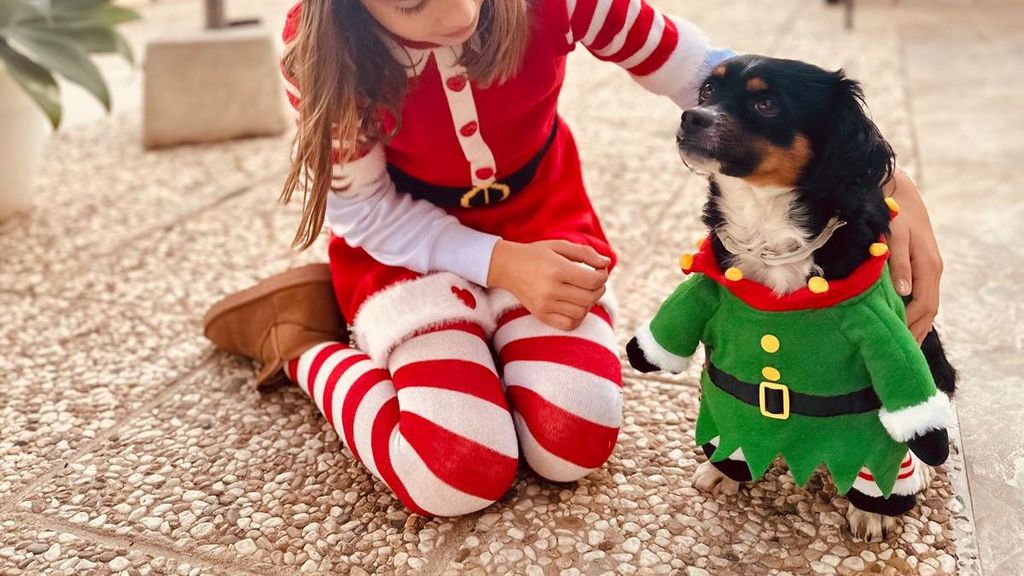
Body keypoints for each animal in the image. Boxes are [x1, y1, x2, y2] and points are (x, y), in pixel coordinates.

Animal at [626, 56, 954, 541]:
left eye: (767, 104)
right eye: (707, 92)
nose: (690, 117)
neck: (767, 229)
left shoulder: (878, 353)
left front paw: (875, 510)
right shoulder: (731, 355)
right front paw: (724, 471)